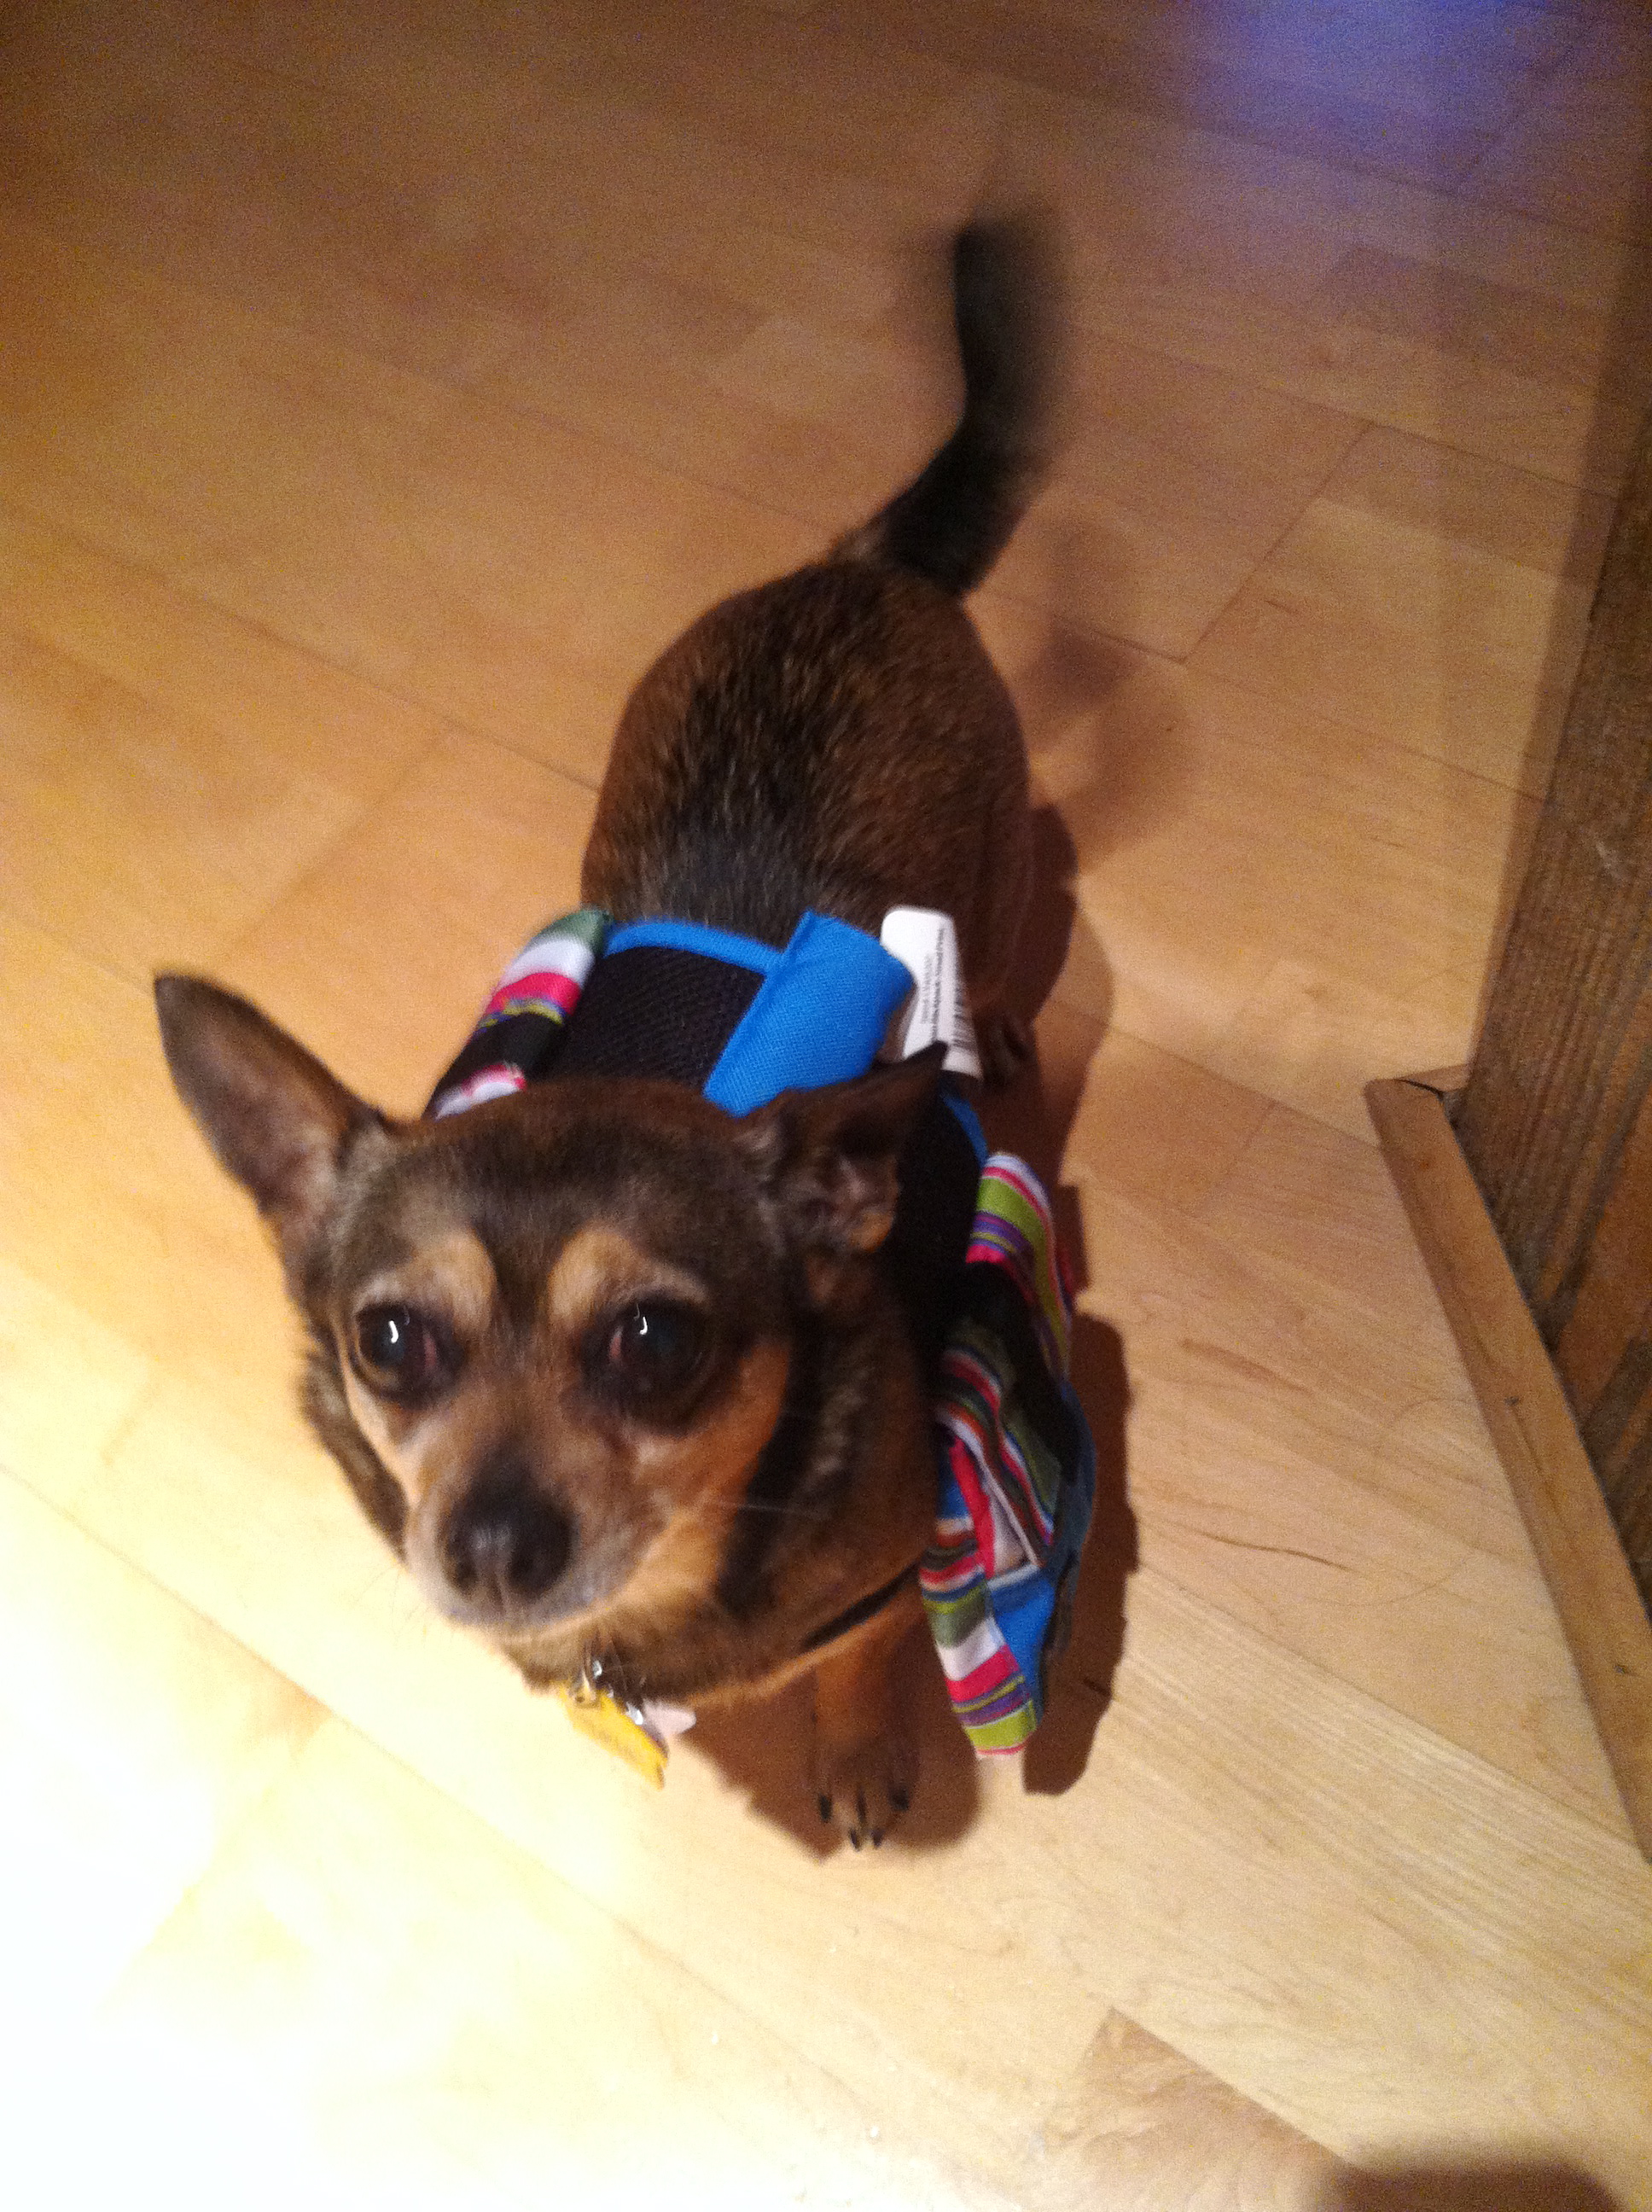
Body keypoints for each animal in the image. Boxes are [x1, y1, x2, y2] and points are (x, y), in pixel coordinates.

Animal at [155, 215, 1062, 1845]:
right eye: (390, 1339)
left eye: (655, 1342)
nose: (490, 1546)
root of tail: (856, 571)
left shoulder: (889, 1582)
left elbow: (861, 1657)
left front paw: (856, 1752)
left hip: (1005, 867)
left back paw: (1007, 1019)